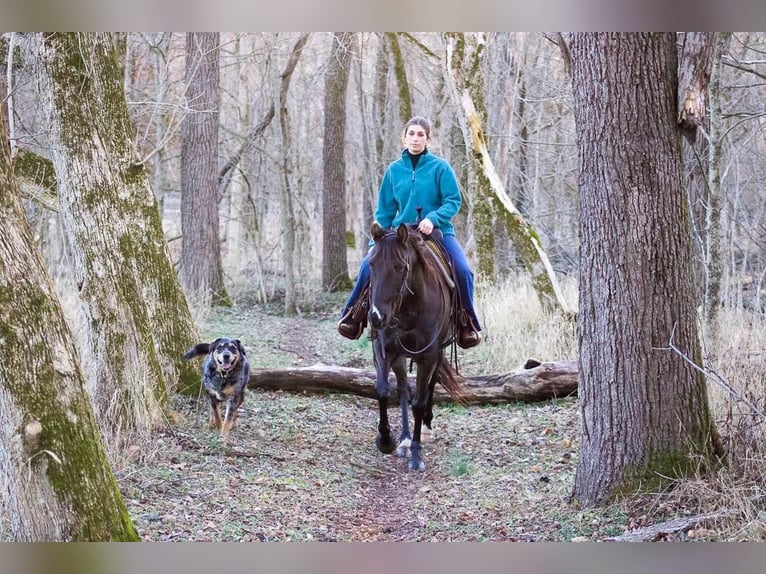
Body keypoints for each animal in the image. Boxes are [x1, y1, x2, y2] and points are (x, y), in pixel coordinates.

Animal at [368, 223, 462, 470]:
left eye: (400, 266)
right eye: (371, 264)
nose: (376, 317)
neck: (408, 308)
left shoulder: (428, 355)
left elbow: (419, 402)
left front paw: (417, 455)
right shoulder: (384, 348)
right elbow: (383, 390)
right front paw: (386, 440)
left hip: (438, 352)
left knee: (431, 384)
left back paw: (426, 428)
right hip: (400, 355)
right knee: (403, 388)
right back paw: (404, 440)